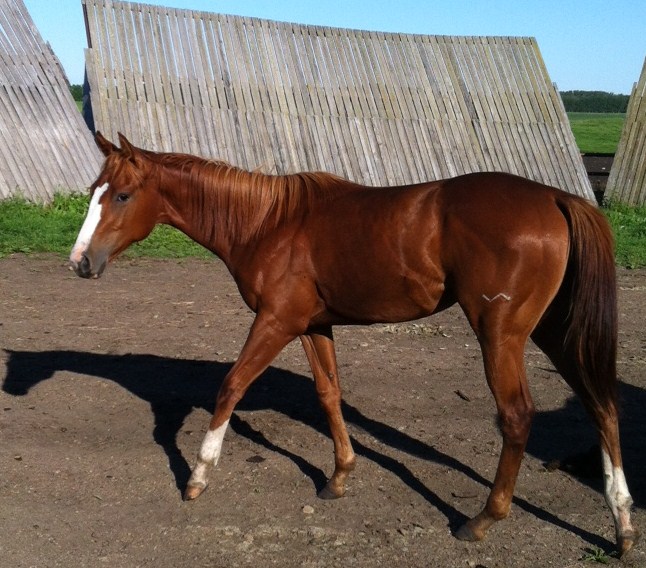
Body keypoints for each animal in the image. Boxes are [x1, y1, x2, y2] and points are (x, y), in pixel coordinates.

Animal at [69, 132, 638, 555]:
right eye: (95, 190)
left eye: (121, 195)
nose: (79, 262)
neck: (267, 223)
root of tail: (556, 197)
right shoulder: (312, 326)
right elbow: (329, 395)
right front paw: (339, 476)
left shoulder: (275, 322)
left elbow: (230, 387)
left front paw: (198, 476)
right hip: (554, 331)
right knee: (603, 405)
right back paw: (622, 522)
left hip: (501, 334)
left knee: (519, 416)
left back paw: (482, 519)